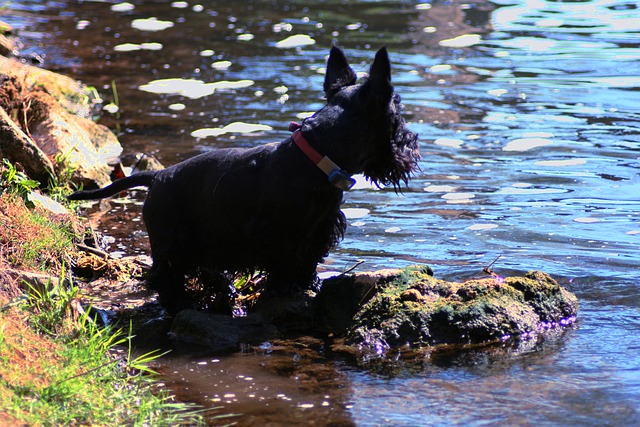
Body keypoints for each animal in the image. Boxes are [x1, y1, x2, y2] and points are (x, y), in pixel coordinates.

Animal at [70, 47, 420, 314]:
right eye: (397, 115)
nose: (412, 144)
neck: (318, 155)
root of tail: (157, 176)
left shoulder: (319, 229)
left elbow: (307, 259)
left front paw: (308, 283)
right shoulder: (282, 236)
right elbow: (284, 263)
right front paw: (284, 289)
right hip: (172, 245)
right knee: (166, 278)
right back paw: (182, 303)